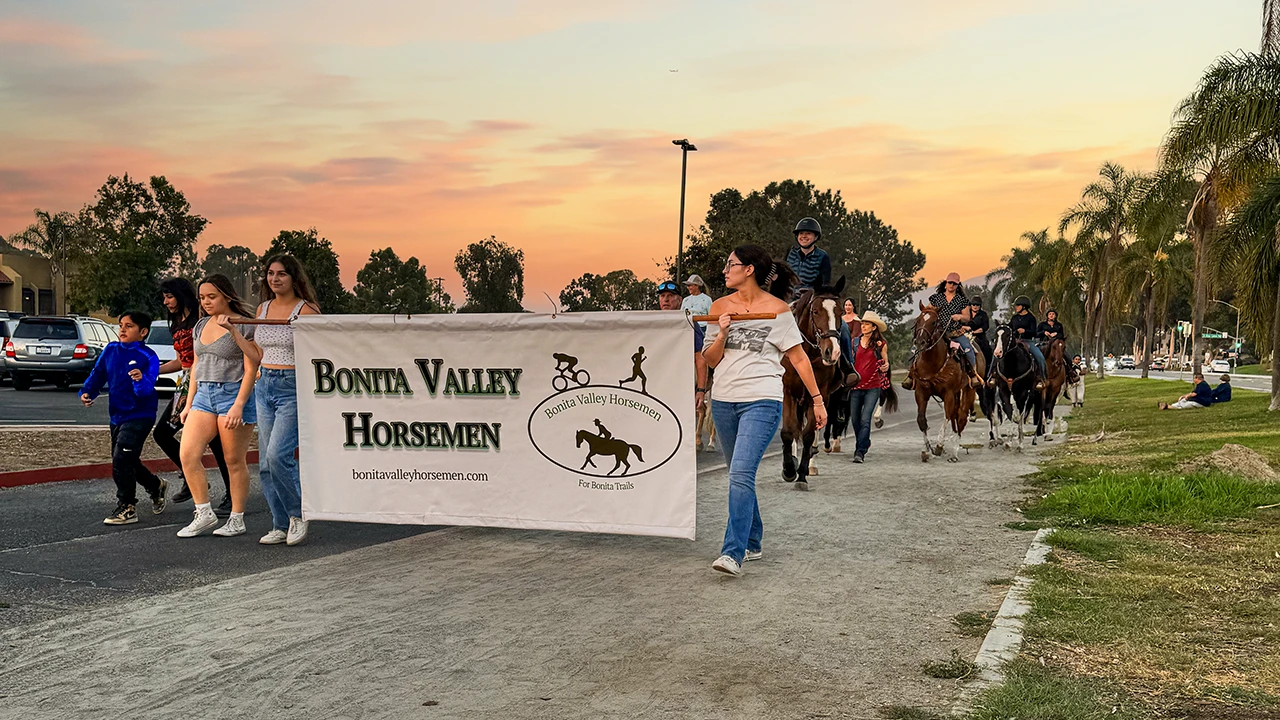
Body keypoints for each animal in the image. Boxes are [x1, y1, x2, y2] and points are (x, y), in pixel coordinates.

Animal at [778, 274, 849, 486]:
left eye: (841, 312)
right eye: (816, 311)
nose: (832, 352)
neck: (807, 354)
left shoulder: (819, 396)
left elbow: (809, 434)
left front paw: (801, 474)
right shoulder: (788, 393)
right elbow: (788, 432)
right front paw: (788, 469)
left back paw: (811, 465)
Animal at [911, 301, 977, 458]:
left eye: (934, 322)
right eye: (918, 320)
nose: (920, 342)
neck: (932, 363)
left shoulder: (948, 394)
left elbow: (947, 416)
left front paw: (939, 446)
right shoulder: (921, 392)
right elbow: (921, 420)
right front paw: (927, 448)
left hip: (968, 390)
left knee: (961, 417)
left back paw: (955, 451)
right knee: (956, 417)